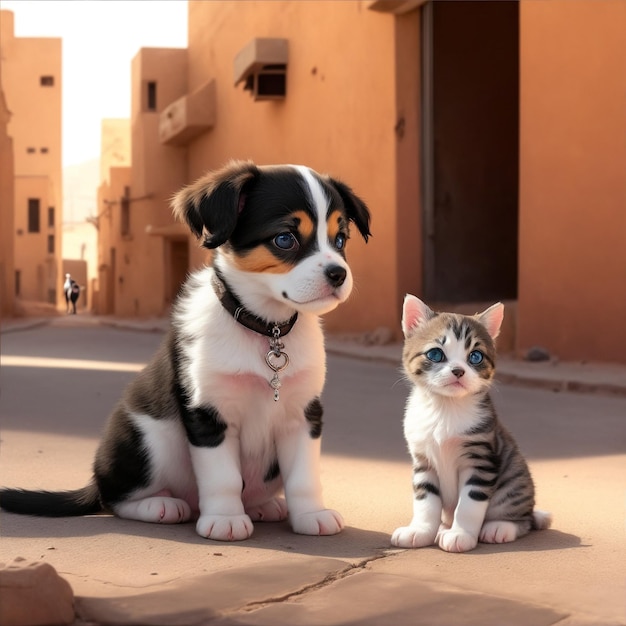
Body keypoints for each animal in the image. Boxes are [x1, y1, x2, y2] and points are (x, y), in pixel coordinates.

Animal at [0, 161, 370, 540]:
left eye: (340, 239)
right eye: (285, 239)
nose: (338, 274)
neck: (267, 329)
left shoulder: (304, 414)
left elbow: (304, 477)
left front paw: (312, 513)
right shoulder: (207, 412)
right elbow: (223, 477)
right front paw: (224, 519)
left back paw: (263, 506)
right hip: (152, 441)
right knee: (114, 497)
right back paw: (160, 505)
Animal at [392, 294, 548, 552]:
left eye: (475, 356)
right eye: (435, 354)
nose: (458, 371)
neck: (445, 409)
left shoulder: (481, 461)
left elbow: (469, 504)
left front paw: (461, 534)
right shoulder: (424, 461)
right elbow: (425, 502)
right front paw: (420, 531)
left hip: (514, 477)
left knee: (524, 519)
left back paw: (499, 527)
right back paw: (443, 527)